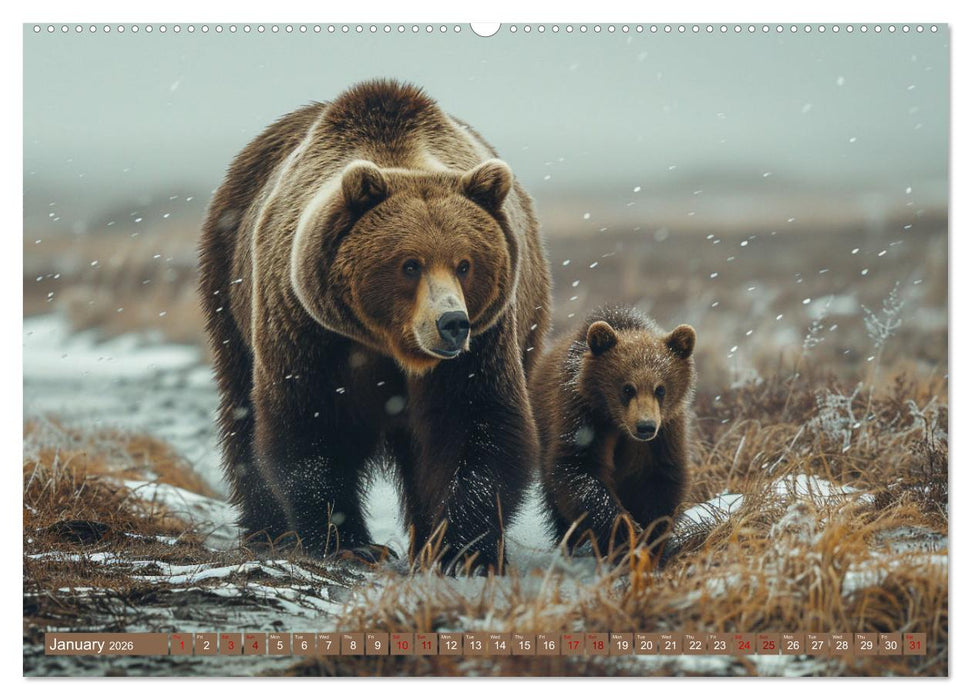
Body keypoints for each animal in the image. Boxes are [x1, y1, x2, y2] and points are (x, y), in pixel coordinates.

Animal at [198, 80, 551, 573]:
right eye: (409, 264)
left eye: (465, 264)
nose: (452, 323)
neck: (389, 344)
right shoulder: (309, 327)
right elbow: (309, 424)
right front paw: (350, 542)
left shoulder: (483, 344)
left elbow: (476, 425)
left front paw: (463, 550)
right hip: (228, 283)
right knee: (242, 410)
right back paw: (267, 531)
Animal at [529, 305, 696, 558]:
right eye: (627, 388)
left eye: (660, 389)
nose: (645, 426)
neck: (617, 423)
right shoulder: (583, 418)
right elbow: (580, 471)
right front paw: (625, 532)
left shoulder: (665, 434)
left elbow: (662, 480)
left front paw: (650, 539)